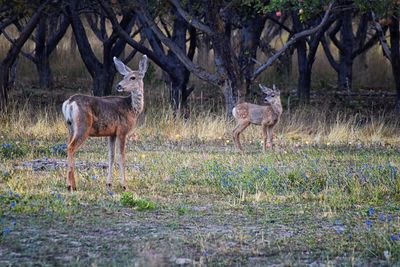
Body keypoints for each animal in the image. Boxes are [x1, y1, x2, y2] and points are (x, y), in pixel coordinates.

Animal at [59, 55, 147, 192]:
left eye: (132, 77)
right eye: (124, 76)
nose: (119, 86)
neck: (131, 107)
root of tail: (69, 102)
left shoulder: (112, 133)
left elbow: (111, 156)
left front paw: (109, 183)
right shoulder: (122, 130)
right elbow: (122, 156)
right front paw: (124, 185)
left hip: (70, 127)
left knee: (68, 146)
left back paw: (70, 184)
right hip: (83, 126)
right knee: (71, 147)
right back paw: (71, 185)